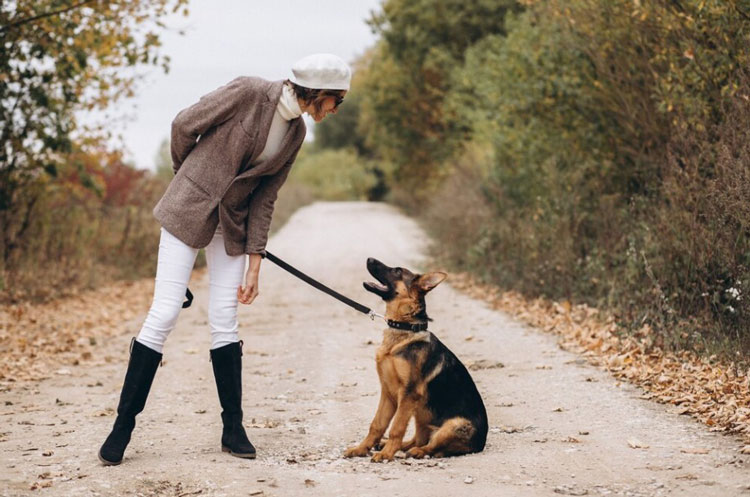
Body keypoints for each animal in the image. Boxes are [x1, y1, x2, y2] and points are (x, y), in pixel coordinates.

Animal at [346, 260, 490, 462]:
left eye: (397, 271)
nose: (369, 259)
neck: (405, 328)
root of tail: (480, 444)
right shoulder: (388, 393)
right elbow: (377, 424)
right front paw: (361, 449)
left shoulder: (408, 393)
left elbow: (396, 428)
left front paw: (387, 454)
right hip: (420, 413)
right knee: (419, 439)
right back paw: (392, 445)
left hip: (452, 424)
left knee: (432, 446)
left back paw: (417, 451)